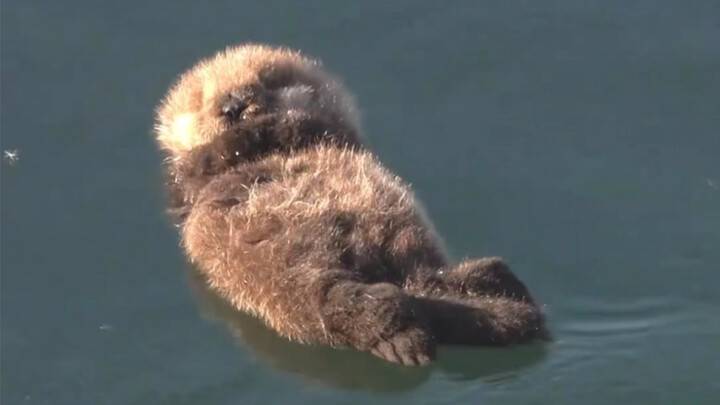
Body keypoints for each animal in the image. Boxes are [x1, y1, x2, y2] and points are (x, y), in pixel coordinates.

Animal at [154, 44, 547, 366]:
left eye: (269, 79)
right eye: (200, 102)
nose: (234, 105)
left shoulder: (335, 127)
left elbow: (309, 121)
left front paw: (272, 120)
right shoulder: (191, 184)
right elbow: (205, 160)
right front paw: (248, 130)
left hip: (404, 250)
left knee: (432, 280)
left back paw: (502, 295)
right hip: (290, 277)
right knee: (339, 302)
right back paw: (410, 336)